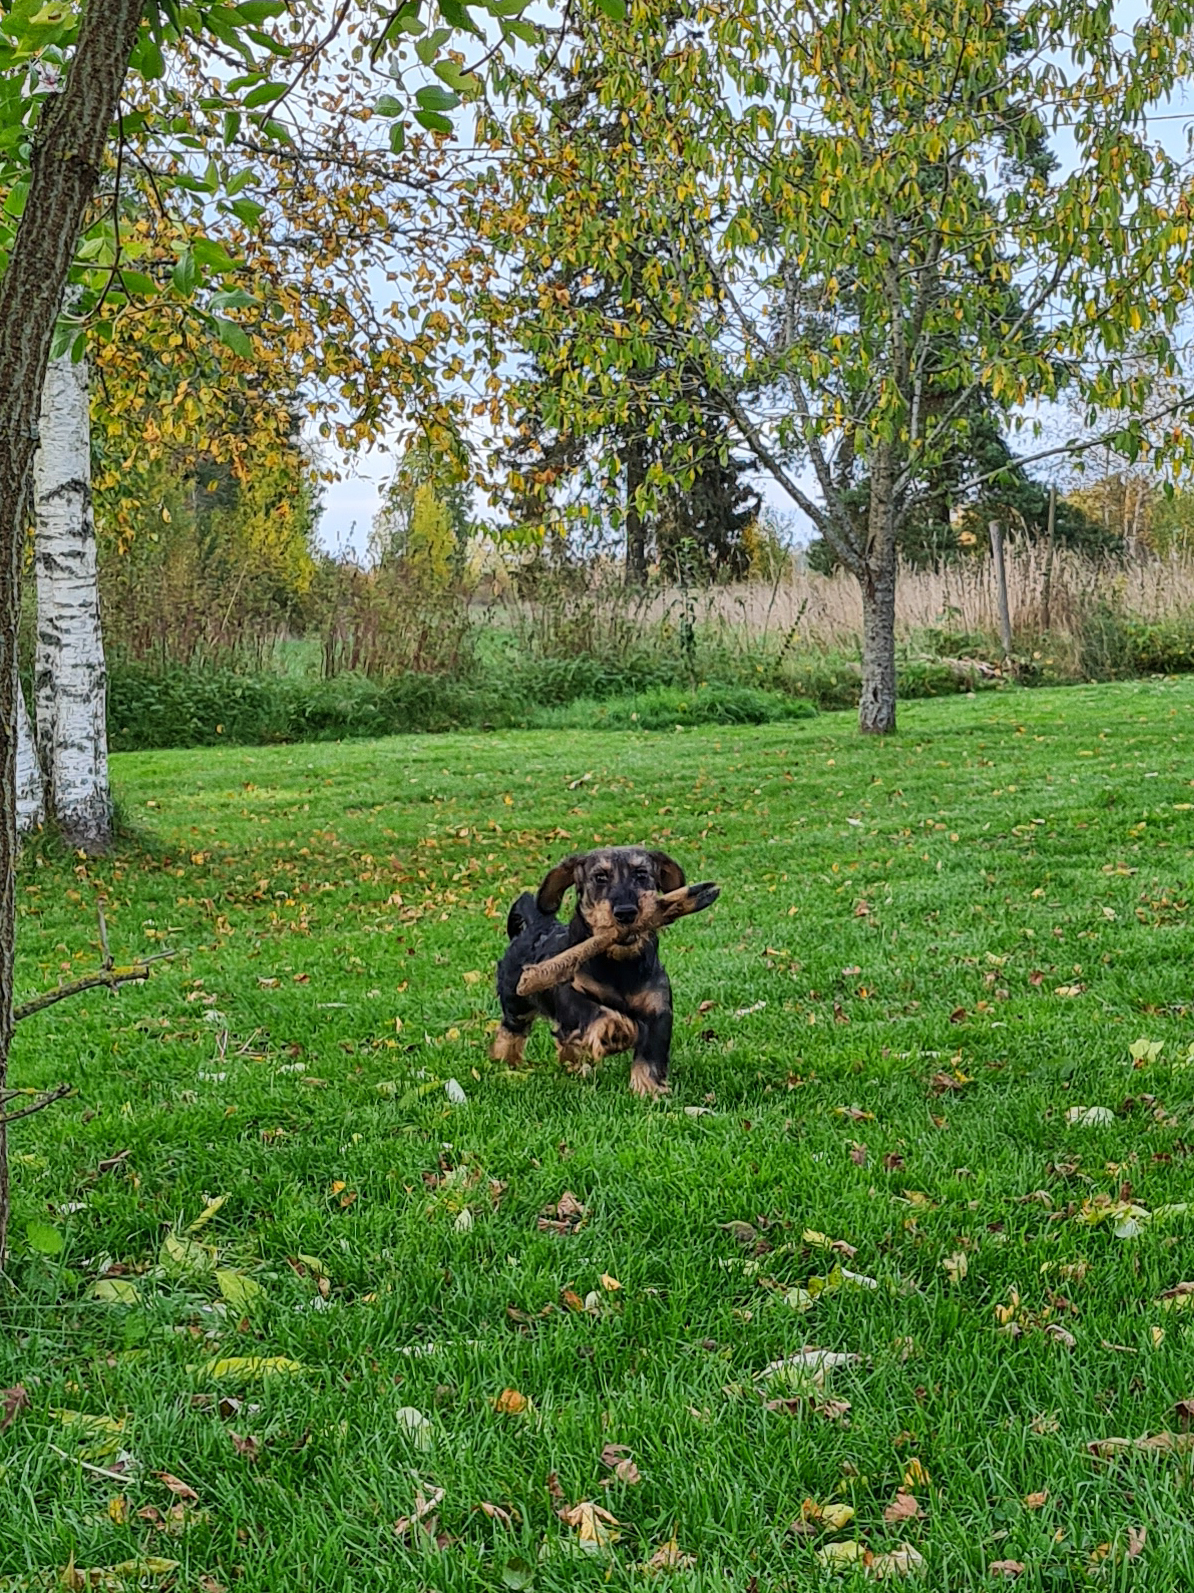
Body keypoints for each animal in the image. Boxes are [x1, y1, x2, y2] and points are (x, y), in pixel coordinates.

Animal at [487, 847, 710, 1095]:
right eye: (600, 877)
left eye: (641, 874)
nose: (626, 913)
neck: (621, 965)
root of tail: (536, 925)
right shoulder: (569, 995)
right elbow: (593, 1010)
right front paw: (616, 1031)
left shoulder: (657, 1008)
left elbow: (651, 1055)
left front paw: (647, 1090)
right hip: (516, 1003)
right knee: (510, 1031)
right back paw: (505, 1061)